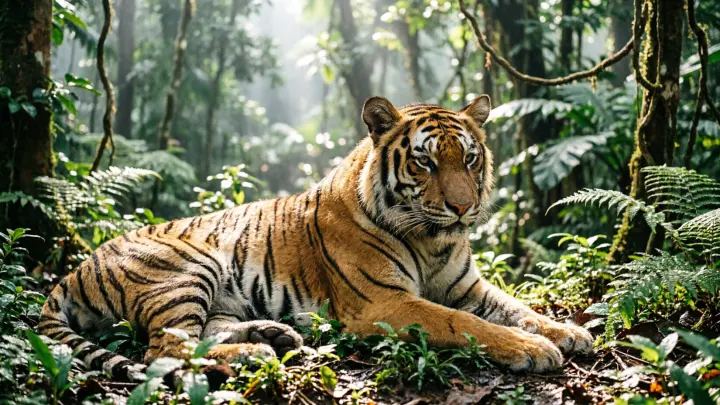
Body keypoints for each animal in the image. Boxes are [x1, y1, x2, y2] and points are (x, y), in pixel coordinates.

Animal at [39, 94, 594, 382]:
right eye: (426, 162)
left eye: (471, 159)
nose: (463, 207)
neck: (434, 241)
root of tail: (75, 269)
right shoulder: (384, 303)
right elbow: (462, 324)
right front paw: (533, 348)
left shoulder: (468, 288)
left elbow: (517, 306)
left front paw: (568, 332)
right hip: (186, 269)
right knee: (163, 351)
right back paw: (258, 354)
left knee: (202, 334)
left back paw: (272, 338)